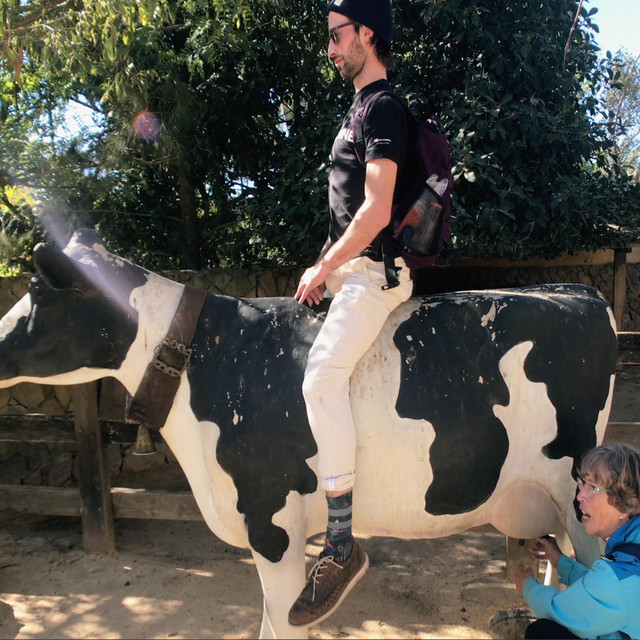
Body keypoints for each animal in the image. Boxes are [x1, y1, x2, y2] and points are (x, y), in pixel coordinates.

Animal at [0, 229, 618, 639]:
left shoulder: (272, 520)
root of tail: (577, 290)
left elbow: (282, 625)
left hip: (582, 503)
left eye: (37, 290)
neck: (212, 358)